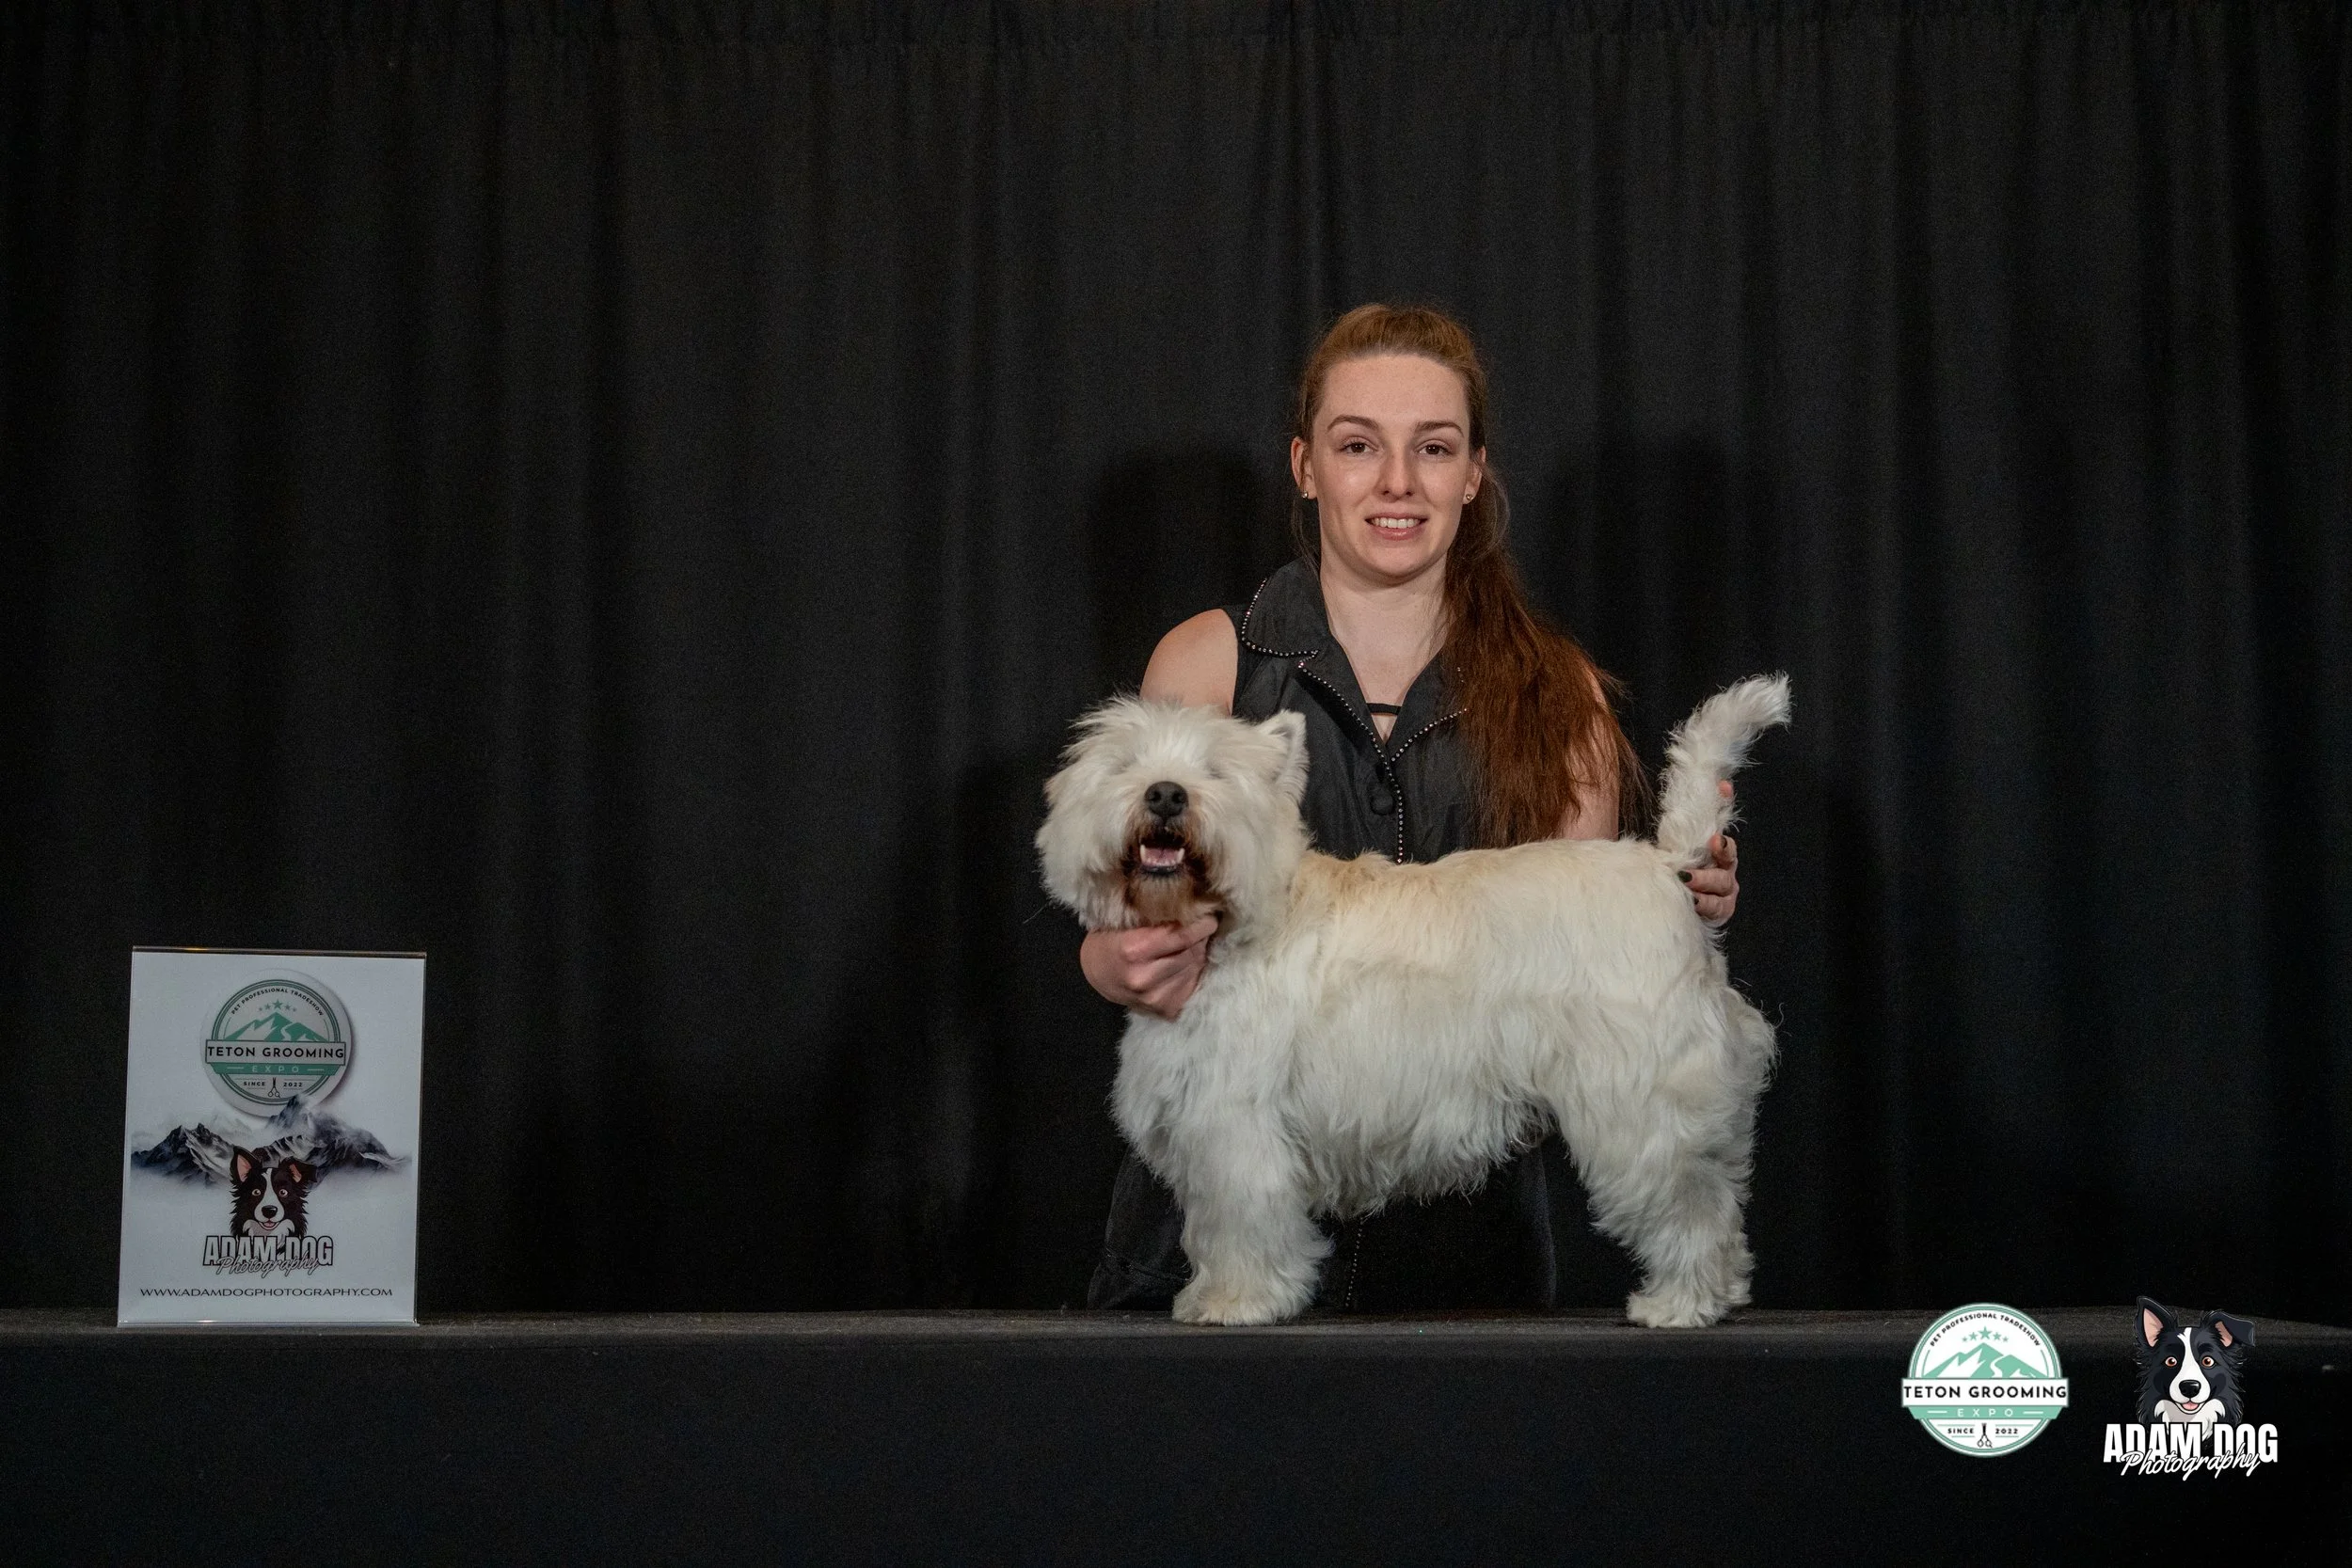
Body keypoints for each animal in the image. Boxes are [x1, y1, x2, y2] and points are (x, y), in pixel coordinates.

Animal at [1038, 674, 1789, 1327]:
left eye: (1218, 772)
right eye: (1124, 765)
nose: (1166, 794)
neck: (1237, 925)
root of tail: (1665, 866)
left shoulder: (1236, 1124)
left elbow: (1241, 1220)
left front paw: (1237, 1300)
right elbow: (1211, 1224)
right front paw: (1211, 1294)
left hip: (1643, 1102)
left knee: (1688, 1204)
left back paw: (1680, 1303)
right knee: (1720, 1196)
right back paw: (1720, 1292)